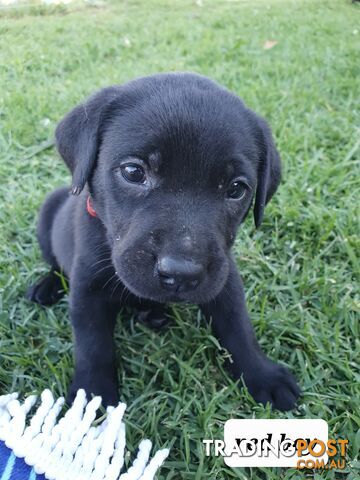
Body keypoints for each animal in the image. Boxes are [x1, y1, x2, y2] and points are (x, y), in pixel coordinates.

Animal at [26, 73, 300, 410]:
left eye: (236, 189)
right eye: (133, 171)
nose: (181, 274)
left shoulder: (224, 279)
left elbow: (238, 327)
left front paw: (262, 374)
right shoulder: (87, 288)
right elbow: (93, 345)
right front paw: (92, 395)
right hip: (48, 213)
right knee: (54, 264)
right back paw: (47, 286)